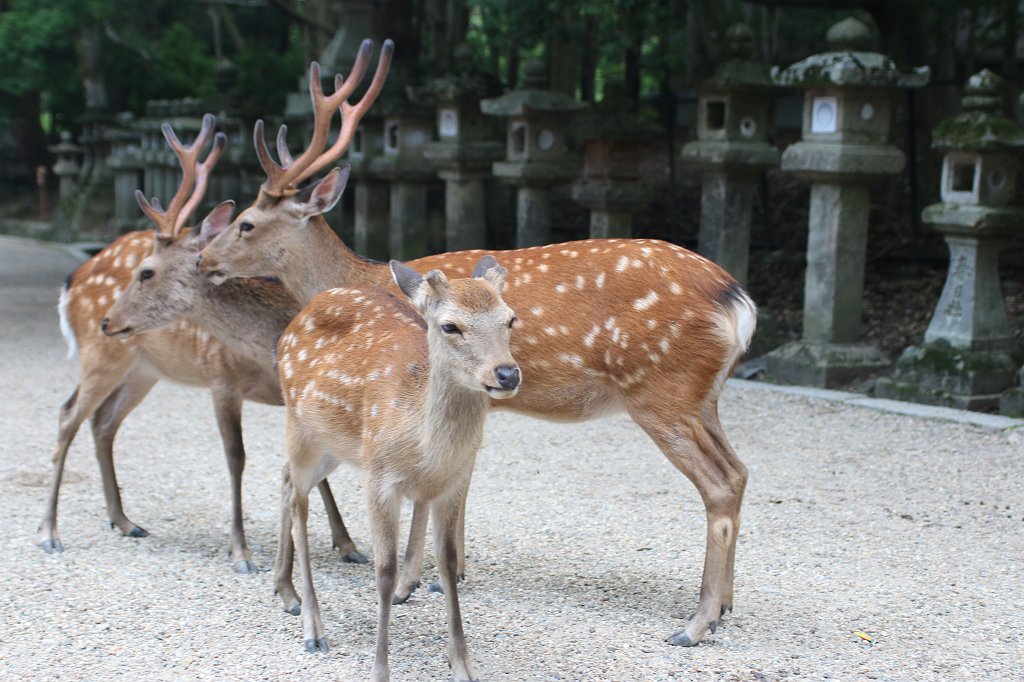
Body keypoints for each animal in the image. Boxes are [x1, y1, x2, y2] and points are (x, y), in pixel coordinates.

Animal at [39, 115, 360, 569]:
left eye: (147, 272)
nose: (107, 320)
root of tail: (74, 278)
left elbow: (312, 467)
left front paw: (347, 544)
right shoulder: (221, 380)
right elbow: (237, 457)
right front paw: (240, 550)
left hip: (142, 370)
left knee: (103, 421)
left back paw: (123, 521)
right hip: (101, 357)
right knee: (69, 415)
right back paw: (49, 532)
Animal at [274, 254, 520, 679]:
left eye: (510, 319)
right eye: (450, 325)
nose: (507, 373)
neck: (425, 452)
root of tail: (300, 314)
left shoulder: (452, 484)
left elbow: (448, 563)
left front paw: (462, 664)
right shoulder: (379, 479)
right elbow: (385, 572)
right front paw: (380, 670)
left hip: (334, 445)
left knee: (287, 479)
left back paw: (284, 591)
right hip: (299, 423)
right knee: (298, 500)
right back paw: (312, 626)